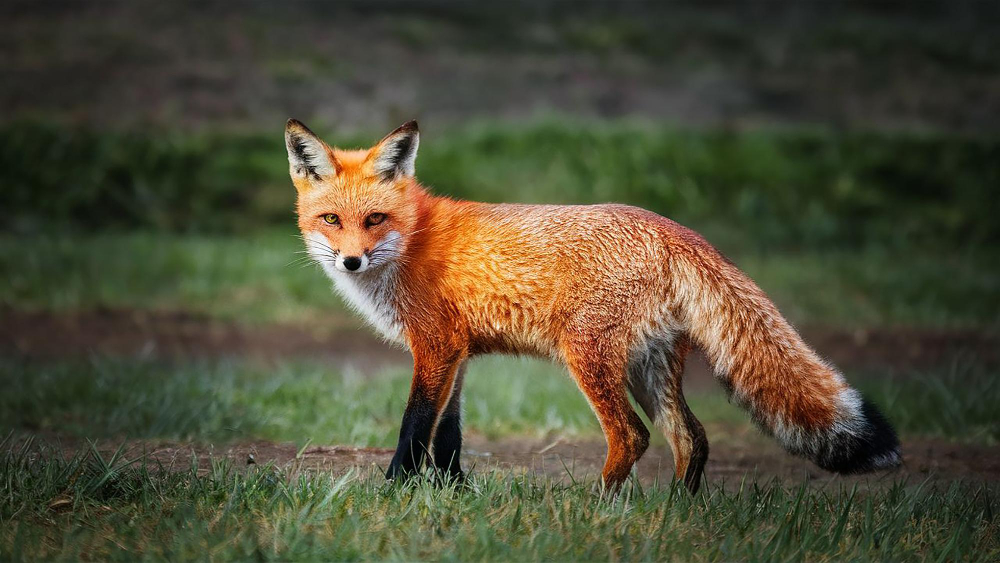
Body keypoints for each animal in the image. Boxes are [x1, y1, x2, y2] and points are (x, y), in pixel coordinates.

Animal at [285, 118, 902, 493]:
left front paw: (395, 492)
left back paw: (596, 505)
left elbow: (414, 429)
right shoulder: (457, 354)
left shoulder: (435, 347)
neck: (411, 240)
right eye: (330, 220)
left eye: (375, 219)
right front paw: (453, 493)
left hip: (589, 358)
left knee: (632, 437)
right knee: (691, 439)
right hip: (649, 366)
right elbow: (448, 437)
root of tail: (677, 230)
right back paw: (677, 513)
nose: (351, 261)